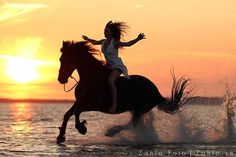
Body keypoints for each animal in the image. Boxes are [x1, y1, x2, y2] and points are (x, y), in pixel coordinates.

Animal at [56, 40, 191, 144]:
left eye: (67, 59)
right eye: (61, 59)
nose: (61, 79)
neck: (91, 79)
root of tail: (156, 92)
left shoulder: (94, 104)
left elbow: (77, 112)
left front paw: (81, 128)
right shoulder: (80, 101)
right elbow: (68, 114)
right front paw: (60, 137)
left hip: (139, 109)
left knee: (133, 124)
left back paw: (111, 132)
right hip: (135, 109)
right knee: (136, 125)